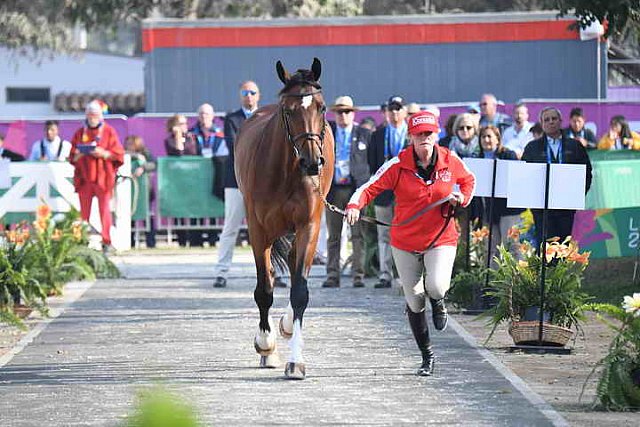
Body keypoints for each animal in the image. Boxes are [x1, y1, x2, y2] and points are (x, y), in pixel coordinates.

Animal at [235, 57, 336, 382]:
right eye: (288, 110)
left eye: (321, 107)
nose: (312, 162)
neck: (287, 171)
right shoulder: (258, 231)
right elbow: (264, 290)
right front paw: (266, 345)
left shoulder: (309, 226)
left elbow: (300, 291)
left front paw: (296, 362)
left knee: (295, 272)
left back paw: (288, 325)